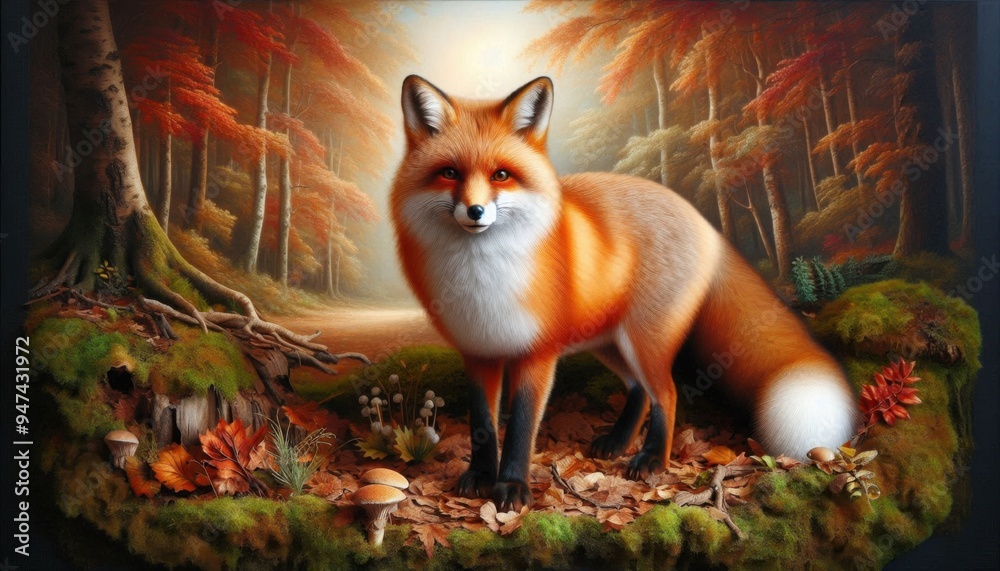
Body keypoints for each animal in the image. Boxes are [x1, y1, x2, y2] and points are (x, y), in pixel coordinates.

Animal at [389, 75, 859, 511]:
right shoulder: (479, 351)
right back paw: (617, 442)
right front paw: (481, 477)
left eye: (501, 175)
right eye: (450, 172)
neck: (483, 276)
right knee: (638, 390)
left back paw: (652, 458)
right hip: (608, 341)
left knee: (666, 393)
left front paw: (512, 487)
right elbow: (482, 425)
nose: (475, 211)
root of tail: (702, 220)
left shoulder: (536, 354)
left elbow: (521, 427)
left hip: (644, 340)